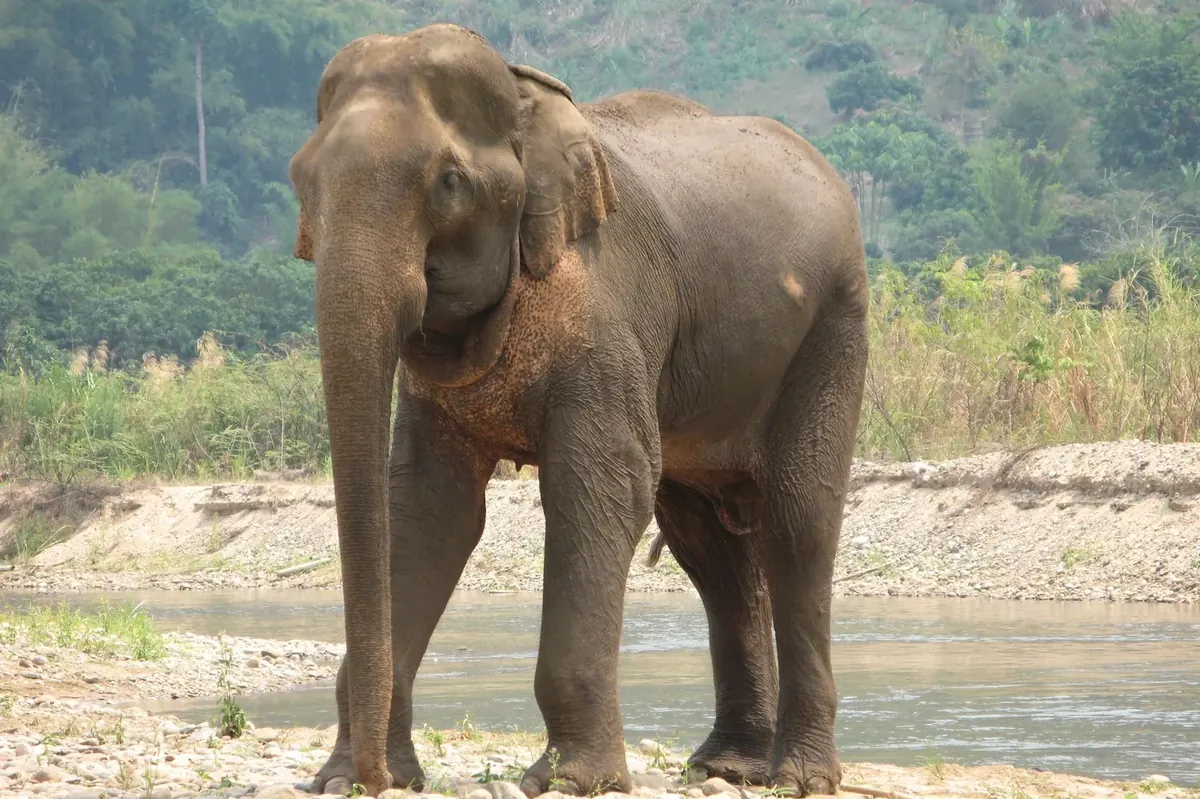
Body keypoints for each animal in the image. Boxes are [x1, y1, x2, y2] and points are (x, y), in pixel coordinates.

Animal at [287, 23, 869, 799]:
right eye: (301, 180)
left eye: (449, 183)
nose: (374, 779)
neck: (526, 97)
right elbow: (430, 507)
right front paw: (341, 779)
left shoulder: (605, 306)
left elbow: (600, 484)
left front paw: (572, 780)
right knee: (709, 545)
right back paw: (727, 764)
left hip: (834, 324)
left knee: (798, 519)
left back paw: (797, 776)